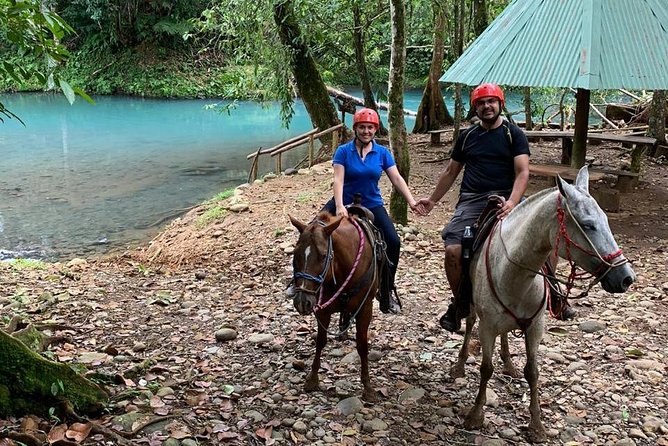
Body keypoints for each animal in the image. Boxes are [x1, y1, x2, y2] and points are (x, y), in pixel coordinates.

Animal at [288, 210, 380, 400]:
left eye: (323, 255)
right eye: (295, 254)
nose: (302, 302)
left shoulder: (365, 308)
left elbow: (362, 345)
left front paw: (367, 387)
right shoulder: (322, 309)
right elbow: (320, 341)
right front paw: (312, 379)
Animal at [454, 166, 636, 442]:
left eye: (606, 221)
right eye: (588, 225)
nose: (626, 277)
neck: (514, 273)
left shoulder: (535, 327)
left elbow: (533, 372)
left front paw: (536, 425)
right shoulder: (487, 328)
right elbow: (486, 368)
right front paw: (476, 415)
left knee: (505, 335)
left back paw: (509, 364)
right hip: (475, 309)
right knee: (470, 324)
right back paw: (460, 365)